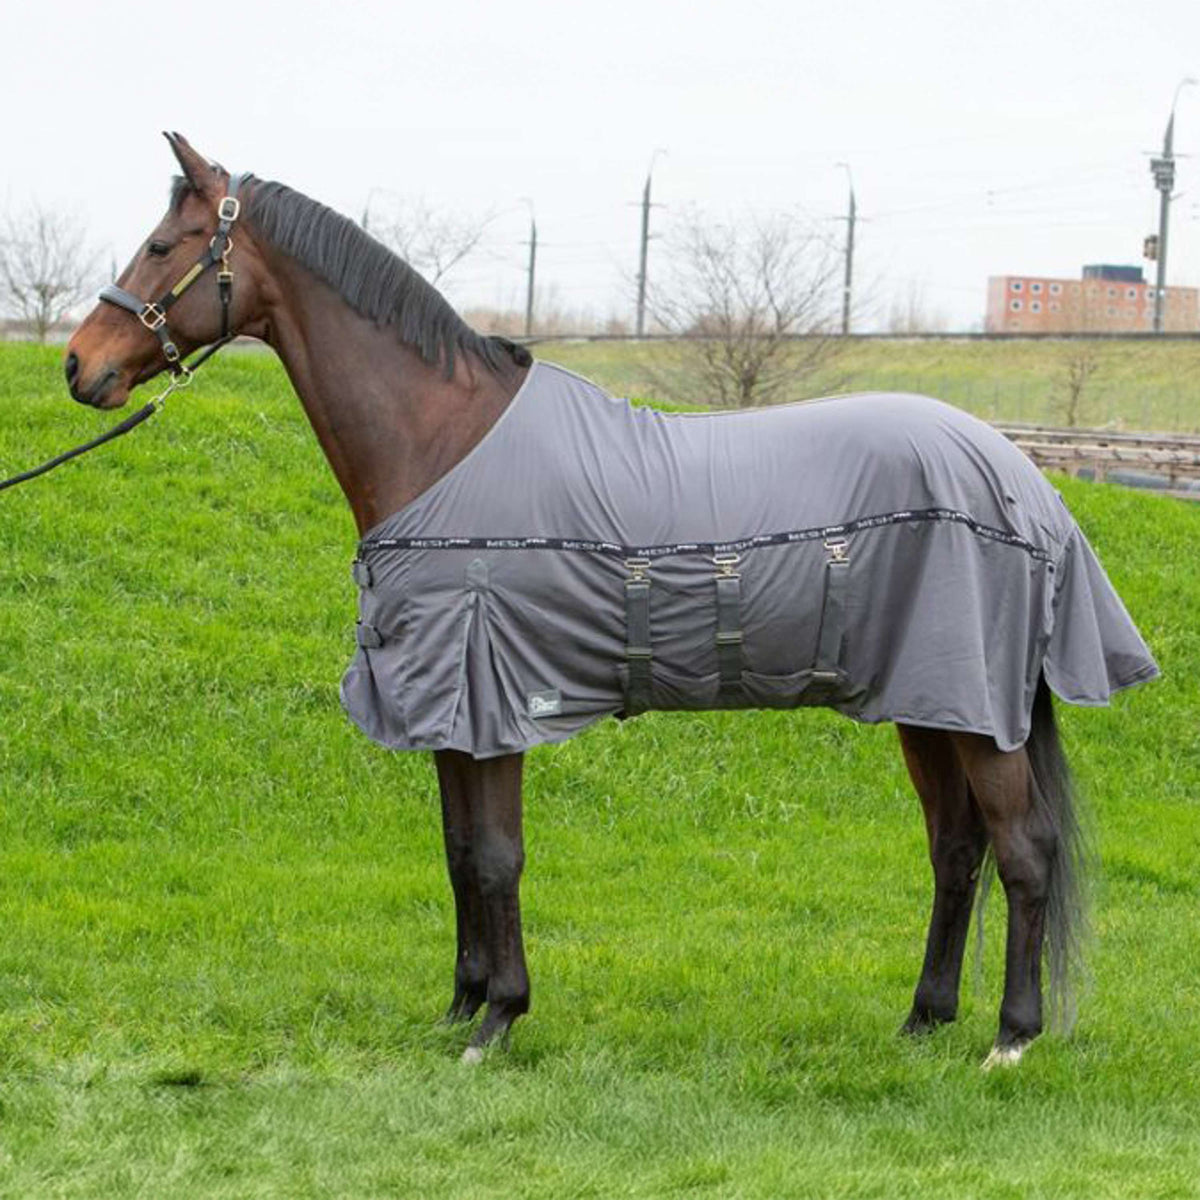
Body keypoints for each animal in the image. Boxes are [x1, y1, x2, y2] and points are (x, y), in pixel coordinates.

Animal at [64, 134, 1157, 1069]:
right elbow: (458, 852)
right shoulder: (451, 709)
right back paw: (924, 1020)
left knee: (1024, 852)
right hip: (930, 704)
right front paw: (460, 1005)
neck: (443, 441)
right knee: (957, 851)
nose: (81, 365)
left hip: (975, 710)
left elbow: (496, 857)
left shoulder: (490, 698)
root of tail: (1023, 480)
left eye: (162, 245)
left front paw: (497, 1021)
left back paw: (1010, 1037)